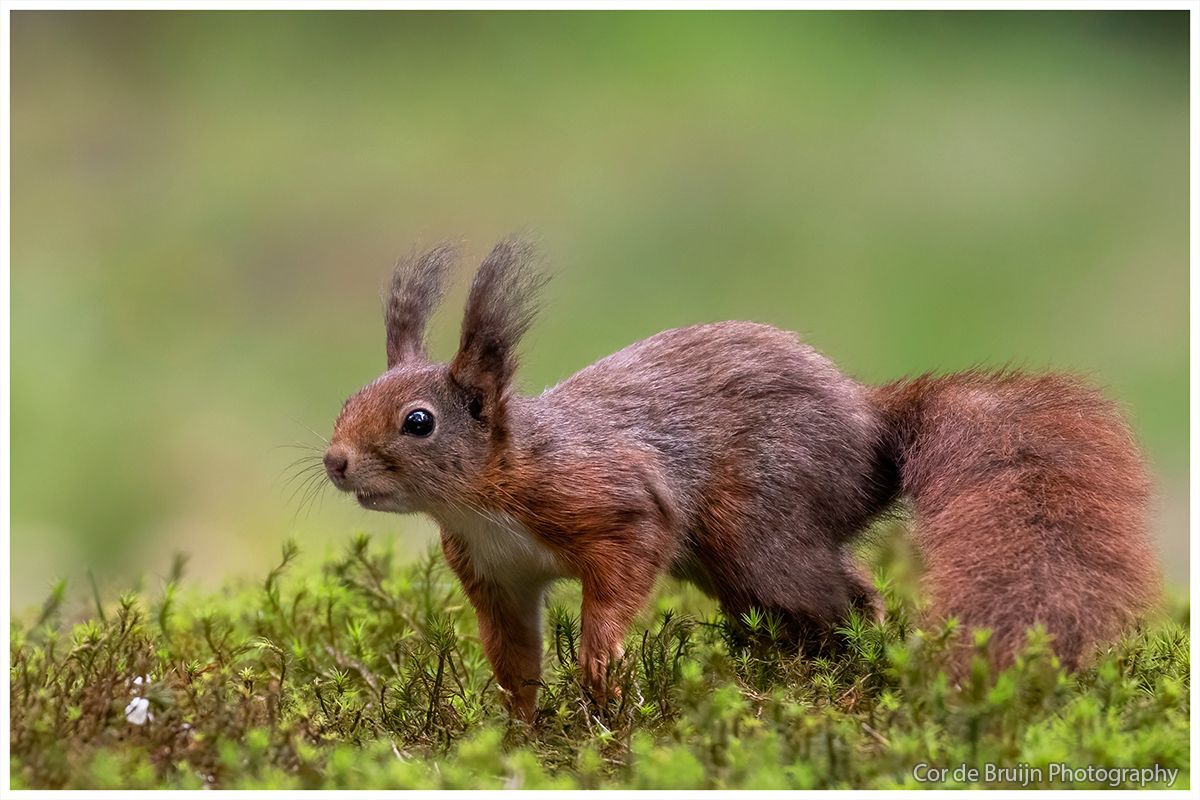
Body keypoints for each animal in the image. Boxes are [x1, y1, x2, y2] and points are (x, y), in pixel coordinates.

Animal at [323, 239, 1160, 721]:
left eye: (419, 422)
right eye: (349, 399)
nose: (335, 461)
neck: (486, 495)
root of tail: (869, 425)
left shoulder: (609, 499)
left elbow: (623, 568)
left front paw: (601, 664)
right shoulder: (494, 575)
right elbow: (514, 655)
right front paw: (519, 726)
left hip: (761, 523)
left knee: (843, 596)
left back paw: (853, 670)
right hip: (725, 563)